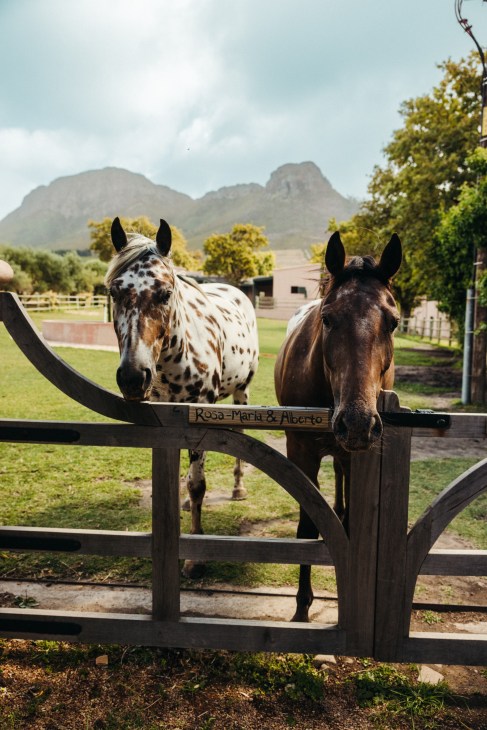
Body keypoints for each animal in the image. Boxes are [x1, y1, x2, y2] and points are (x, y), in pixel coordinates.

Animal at [106, 217, 259, 577]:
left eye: (165, 293)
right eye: (114, 291)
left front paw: (194, 556)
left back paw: (238, 489)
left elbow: (197, 483)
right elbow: (178, 476)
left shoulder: (199, 409)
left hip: (241, 394)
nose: (133, 377)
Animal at [274, 231, 402, 621]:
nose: (357, 423)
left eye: (393, 322)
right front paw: (302, 607)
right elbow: (307, 527)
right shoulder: (301, 450)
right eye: (328, 319)